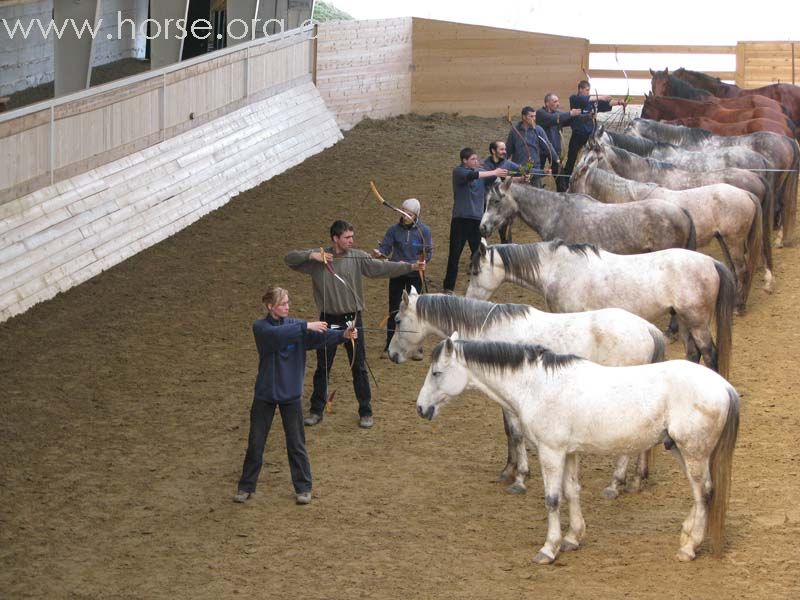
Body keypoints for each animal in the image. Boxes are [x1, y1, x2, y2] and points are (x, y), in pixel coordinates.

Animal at [390, 290, 664, 496]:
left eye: (398, 321)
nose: (392, 354)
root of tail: (648, 328)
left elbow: (515, 433)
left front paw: (520, 477)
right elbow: (509, 432)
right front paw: (508, 470)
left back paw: (615, 484)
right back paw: (636, 480)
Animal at [418, 336, 736, 564]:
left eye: (436, 373)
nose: (421, 408)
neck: (537, 385)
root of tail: (724, 386)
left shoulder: (551, 451)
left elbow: (552, 499)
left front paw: (549, 549)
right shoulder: (569, 452)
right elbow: (572, 492)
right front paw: (572, 538)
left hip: (693, 452)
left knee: (704, 493)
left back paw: (689, 548)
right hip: (680, 450)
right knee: (701, 494)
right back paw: (686, 536)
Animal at [466, 239, 736, 380]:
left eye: (476, 271)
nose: (467, 298)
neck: (559, 268)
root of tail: (711, 262)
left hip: (697, 321)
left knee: (709, 353)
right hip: (684, 320)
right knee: (693, 352)